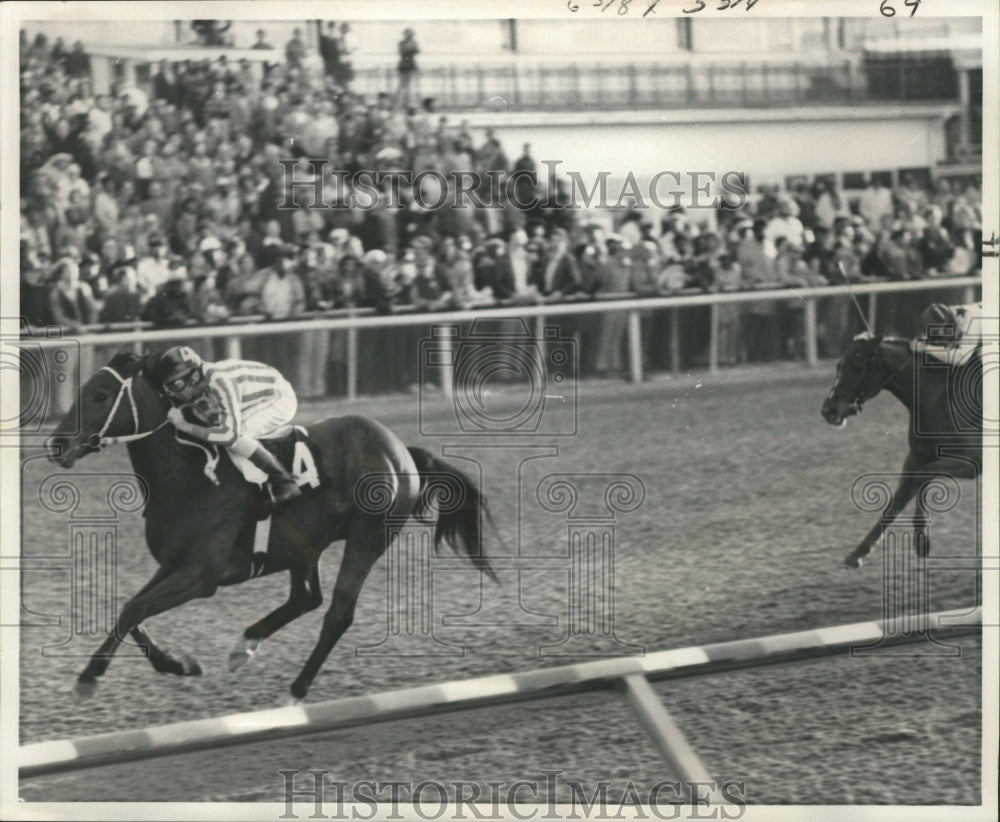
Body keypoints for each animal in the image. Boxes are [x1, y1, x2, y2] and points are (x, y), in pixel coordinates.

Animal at [48, 350, 498, 704]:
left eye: (101, 395)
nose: (56, 444)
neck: (185, 475)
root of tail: (400, 448)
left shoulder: (201, 576)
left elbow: (135, 608)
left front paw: (87, 680)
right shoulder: (172, 565)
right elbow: (129, 609)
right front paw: (177, 664)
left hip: (368, 538)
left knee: (337, 614)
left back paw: (295, 691)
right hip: (305, 544)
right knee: (306, 597)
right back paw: (245, 646)